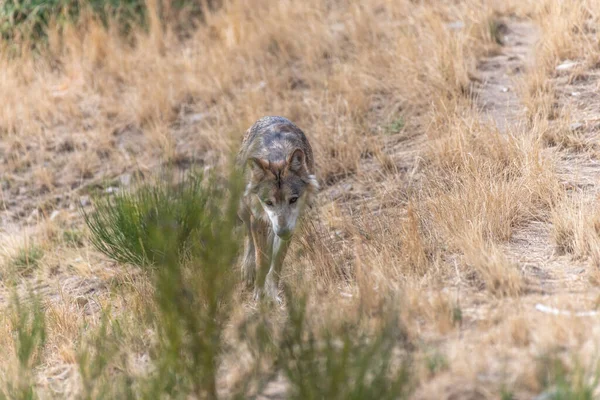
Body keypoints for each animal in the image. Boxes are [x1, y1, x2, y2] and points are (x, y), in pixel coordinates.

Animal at [237, 115, 318, 300]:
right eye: (268, 202)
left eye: (293, 199)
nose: (282, 232)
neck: (277, 155)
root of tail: (268, 116)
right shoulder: (259, 220)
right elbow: (262, 260)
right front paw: (259, 294)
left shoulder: (291, 223)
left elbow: (277, 261)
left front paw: (272, 293)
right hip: (244, 208)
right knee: (247, 234)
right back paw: (248, 269)